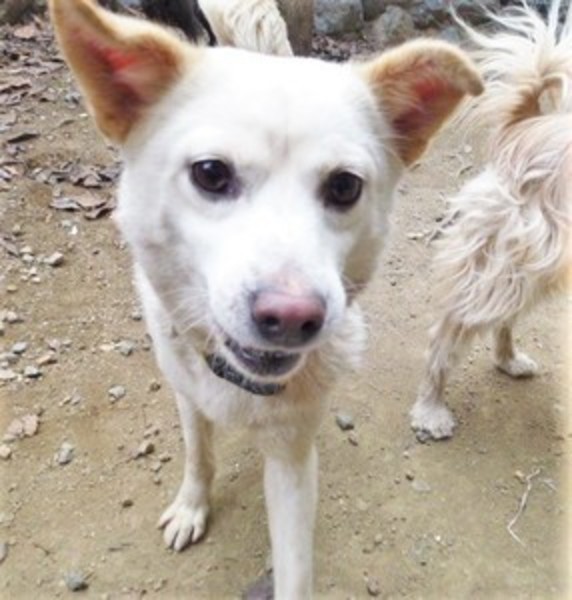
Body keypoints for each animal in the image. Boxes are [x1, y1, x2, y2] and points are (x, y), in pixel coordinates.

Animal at [49, 0, 482, 595]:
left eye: (345, 186)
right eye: (211, 173)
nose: (293, 317)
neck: (239, 381)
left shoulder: (293, 454)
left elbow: (295, 565)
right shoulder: (187, 394)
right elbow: (198, 454)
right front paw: (192, 505)